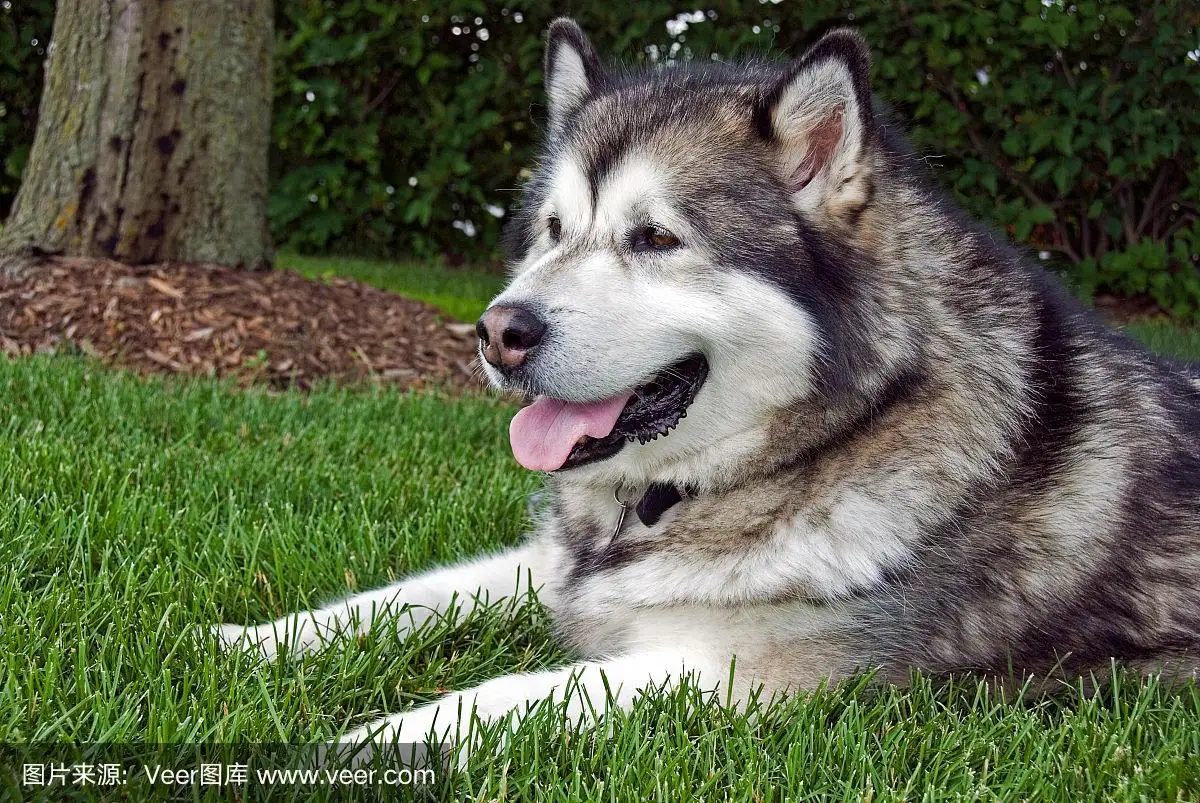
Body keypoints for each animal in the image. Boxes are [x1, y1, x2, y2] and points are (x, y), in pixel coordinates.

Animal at [216, 17, 1200, 744]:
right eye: (552, 230)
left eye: (655, 237)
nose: (497, 333)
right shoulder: (560, 568)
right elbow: (404, 595)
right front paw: (244, 640)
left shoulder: (748, 673)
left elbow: (506, 693)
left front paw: (364, 742)